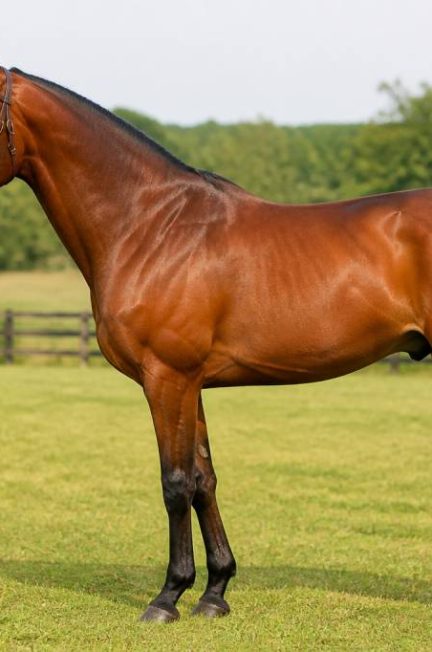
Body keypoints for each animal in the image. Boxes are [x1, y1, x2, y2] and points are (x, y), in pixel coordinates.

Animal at [1, 66, 431, 623]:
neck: (149, 226)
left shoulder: (166, 378)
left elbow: (176, 482)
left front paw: (168, 596)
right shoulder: (192, 383)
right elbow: (204, 479)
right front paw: (214, 592)